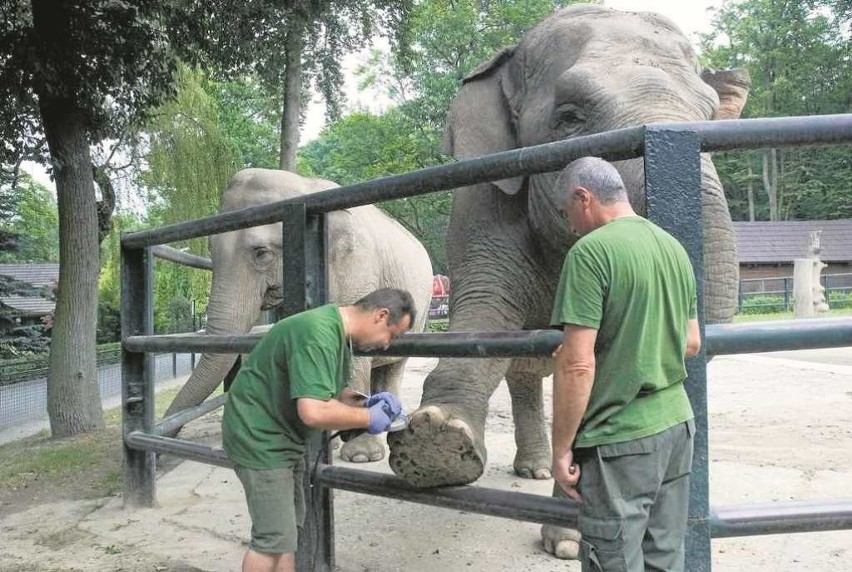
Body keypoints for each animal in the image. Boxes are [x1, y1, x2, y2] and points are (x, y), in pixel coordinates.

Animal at [164, 168, 436, 462]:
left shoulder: (357, 268)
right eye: (210, 251)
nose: (163, 445)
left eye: (261, 253)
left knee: (394, 366)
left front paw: (359, 455)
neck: (306, 188)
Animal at [390, 4, 748, 488]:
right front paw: (435, 444)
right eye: (570, 116)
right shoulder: (483, 205)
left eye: (711, 116)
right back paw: (536, 468)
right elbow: (486, 318)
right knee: (523, 369)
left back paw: (542, 474)